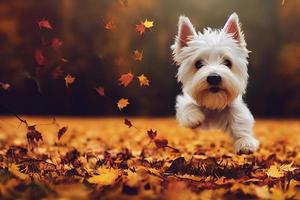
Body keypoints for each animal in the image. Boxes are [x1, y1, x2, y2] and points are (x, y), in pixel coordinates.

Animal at [172, 12, 258, 153]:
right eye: (198, 64)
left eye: (228, 62)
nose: (214, 78)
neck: (213, 105)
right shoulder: (185, 99)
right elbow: (186, 105)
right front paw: (193, 117)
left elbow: (239, 118)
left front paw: (245, 141)